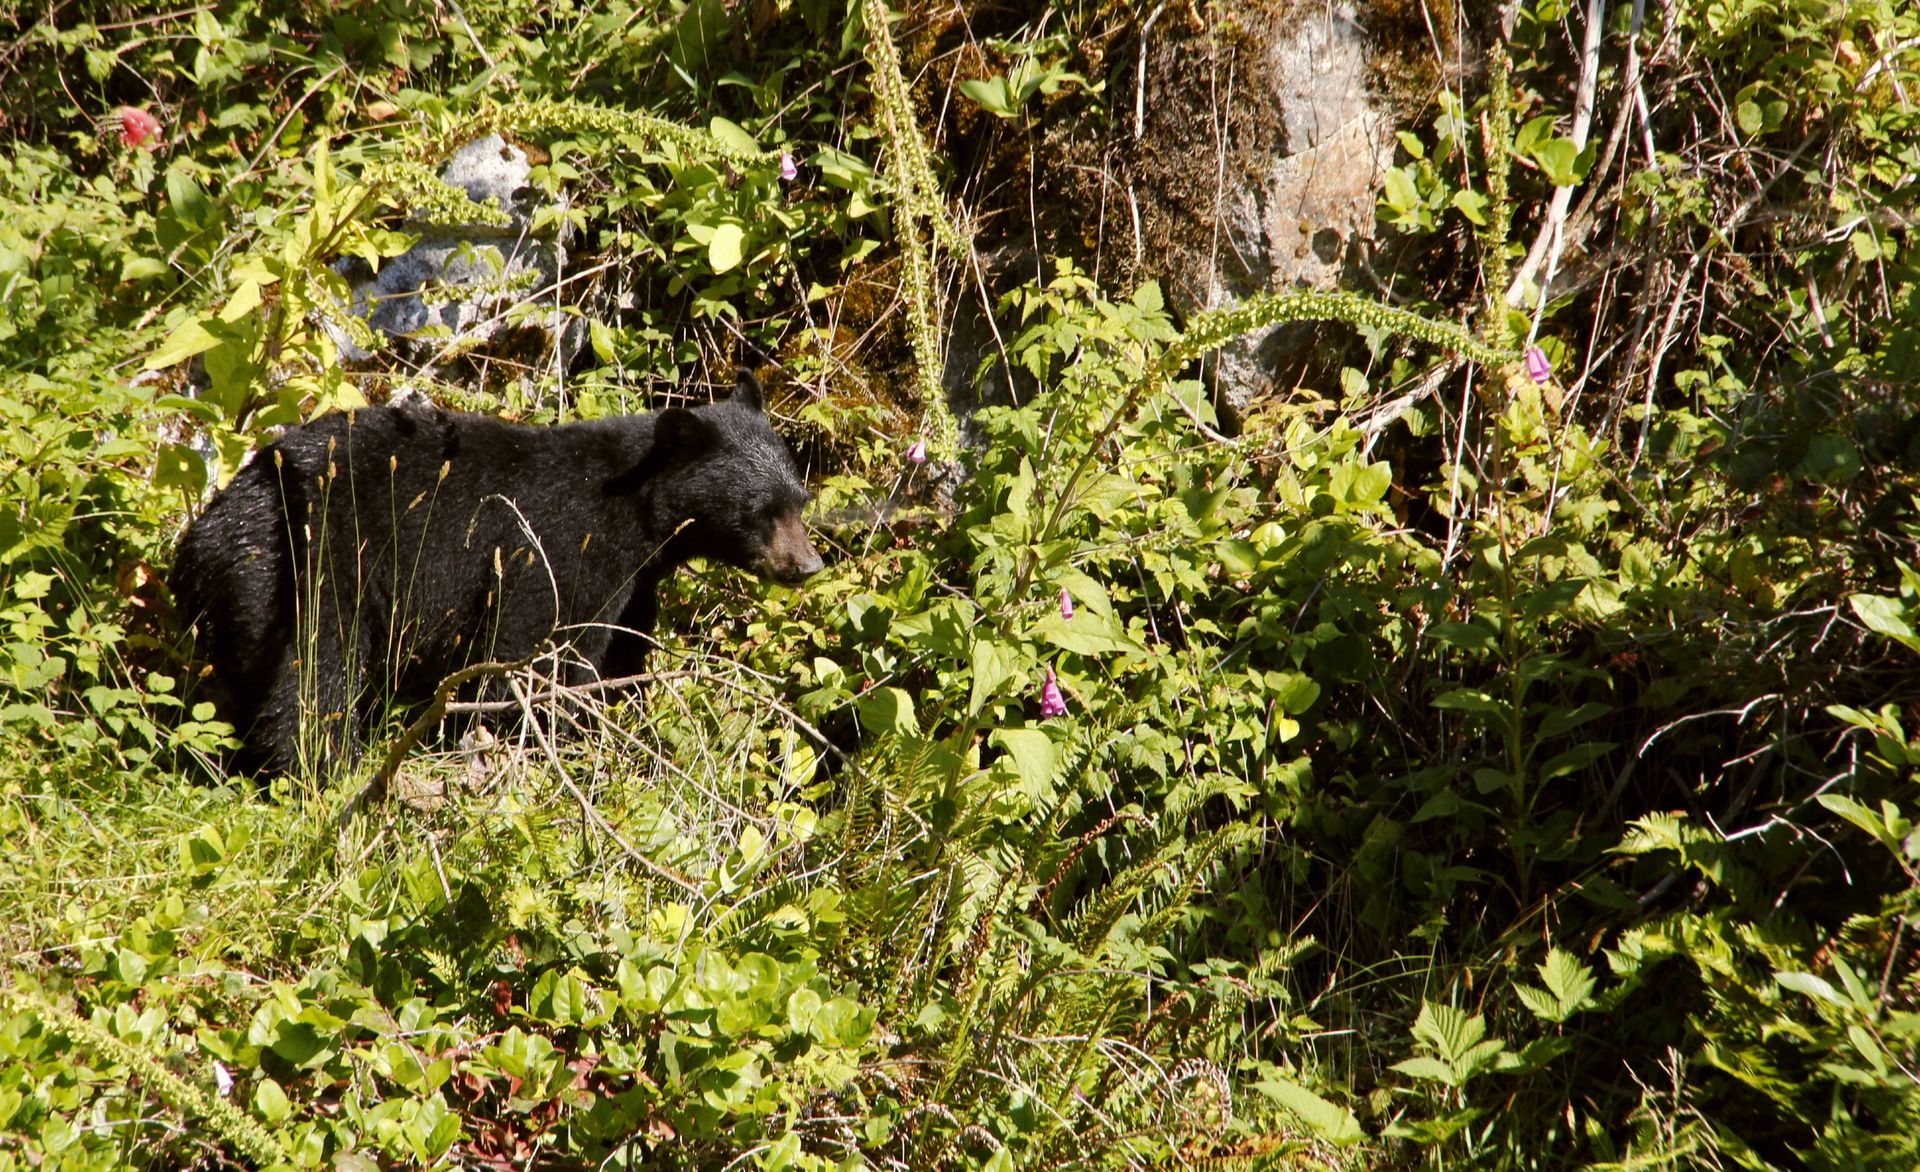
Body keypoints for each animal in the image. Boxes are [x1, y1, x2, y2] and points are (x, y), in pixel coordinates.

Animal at [170, 371, 823, 778]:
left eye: (800, 499)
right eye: (761, 511)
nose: (808, 565)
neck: (637, 512)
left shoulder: (636, 581)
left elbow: (623, 650)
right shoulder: (556, 551)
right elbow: (536, 650)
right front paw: (542, 737)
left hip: (255, 577)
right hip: (329, 561)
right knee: (314, 673)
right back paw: (325, 767)